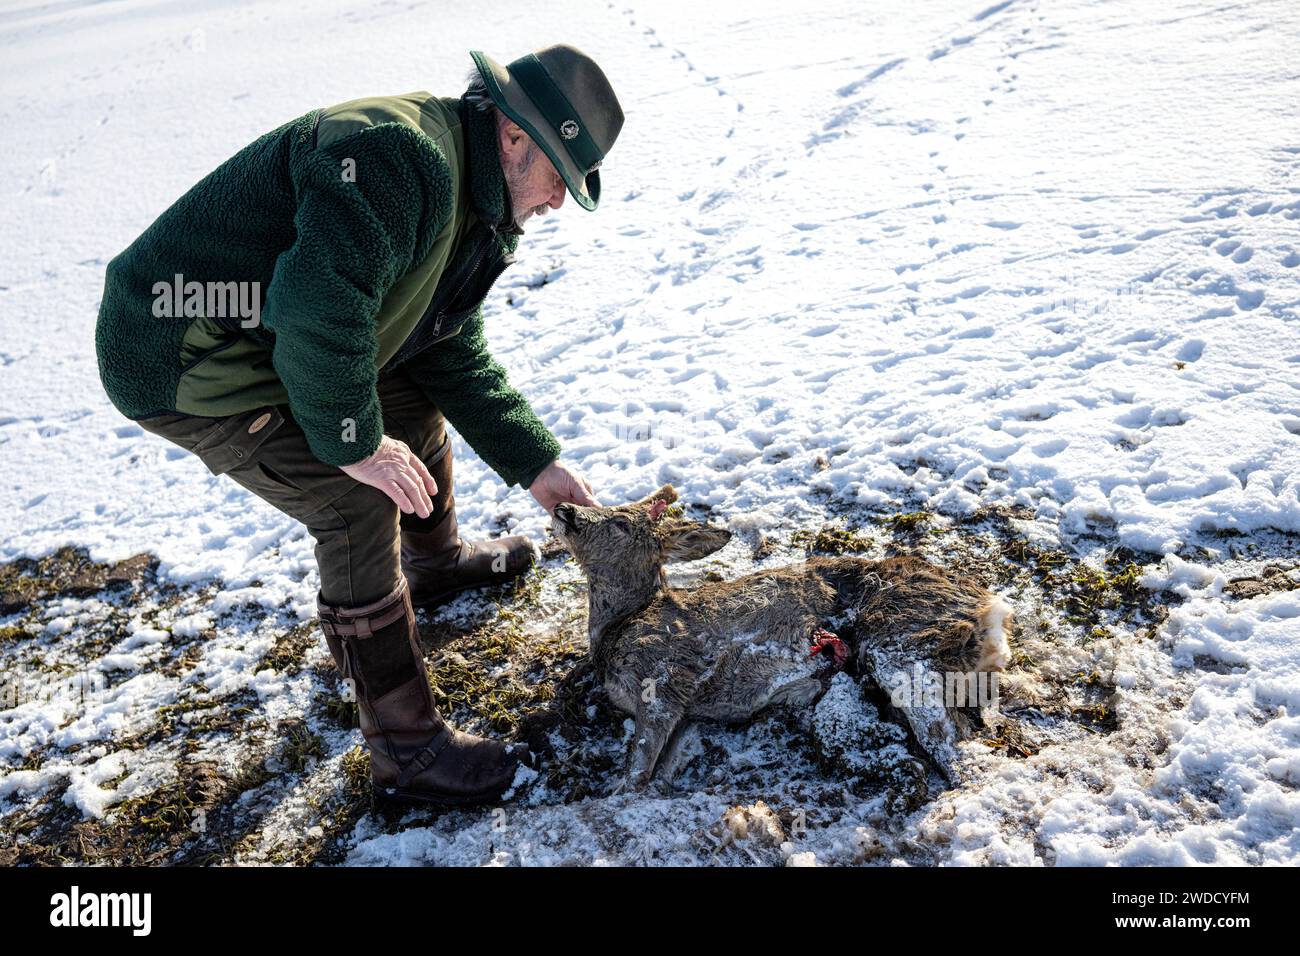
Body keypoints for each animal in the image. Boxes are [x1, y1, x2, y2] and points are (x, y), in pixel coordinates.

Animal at [550, 484, 1014, 792]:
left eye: (619, 522)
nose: (563, 508)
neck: (620, 623)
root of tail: (992, 609)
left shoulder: (662, 678)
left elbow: (639, 764)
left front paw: (614, 793)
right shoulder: (688, 713)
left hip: (899, 643)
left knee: (952, 747)